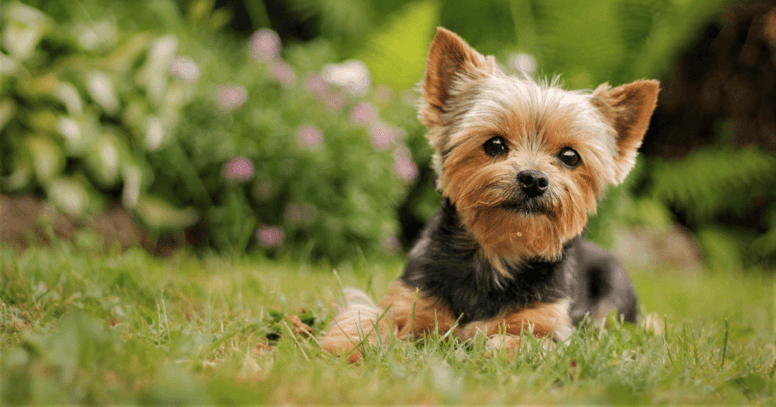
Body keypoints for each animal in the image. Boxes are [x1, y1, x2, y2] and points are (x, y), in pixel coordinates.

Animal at [318, 27, 656, 362]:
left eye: (570, 156)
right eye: (494, 144)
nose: (533, 179)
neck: (497, 252)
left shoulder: (550, 324)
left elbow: (526, 341)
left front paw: (493, 344)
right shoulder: (411, 298)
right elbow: (367, 314)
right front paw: (347, 344)